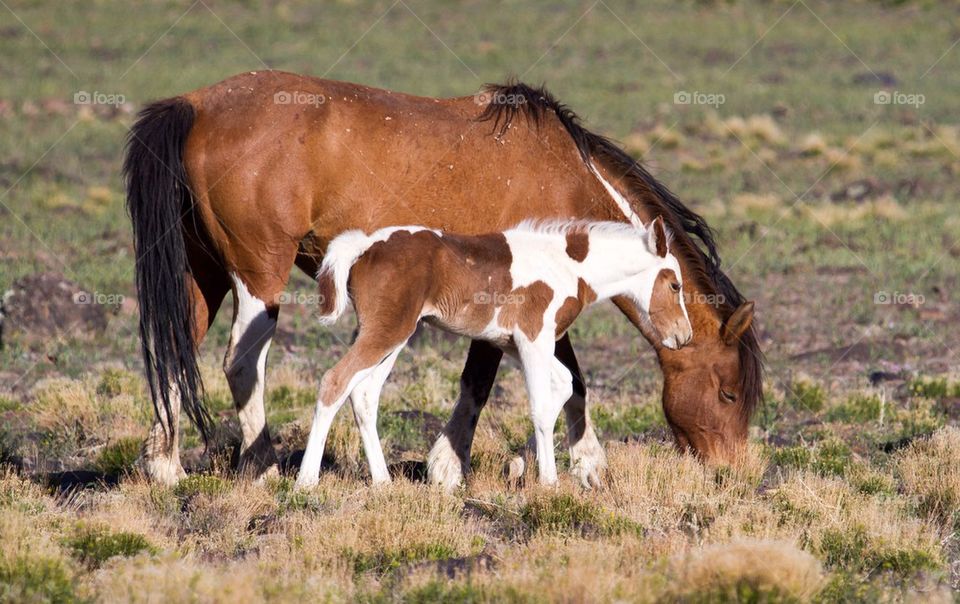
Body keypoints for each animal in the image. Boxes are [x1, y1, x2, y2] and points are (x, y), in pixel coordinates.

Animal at [296, 217, 692, 486]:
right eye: (675, 284)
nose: (683, 335)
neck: (570, 267)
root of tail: (364, 246)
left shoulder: (516, 343)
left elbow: (564, 385)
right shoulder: (534, 340)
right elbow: (540, 407)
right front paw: (548, 481)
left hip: (394, 334)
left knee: (364, 393)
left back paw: (382, 481)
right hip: (387, 331)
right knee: (334, 382)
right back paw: (306, 481)